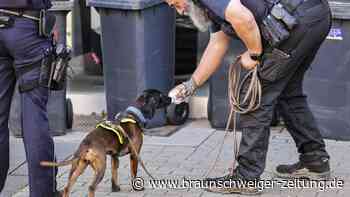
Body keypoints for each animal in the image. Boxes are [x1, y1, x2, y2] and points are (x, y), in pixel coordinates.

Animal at [40, 89, 172, 197]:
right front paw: (137, 188)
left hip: (78, 167)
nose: (171, 98)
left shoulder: (114, 157)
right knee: (91, 187)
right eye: (161, 95)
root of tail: (86, 144)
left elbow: (114, 174)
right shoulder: (135, 155)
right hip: (100, 168)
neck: (134, 115)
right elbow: (134, 173)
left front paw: (115, 188)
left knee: (67, 188)